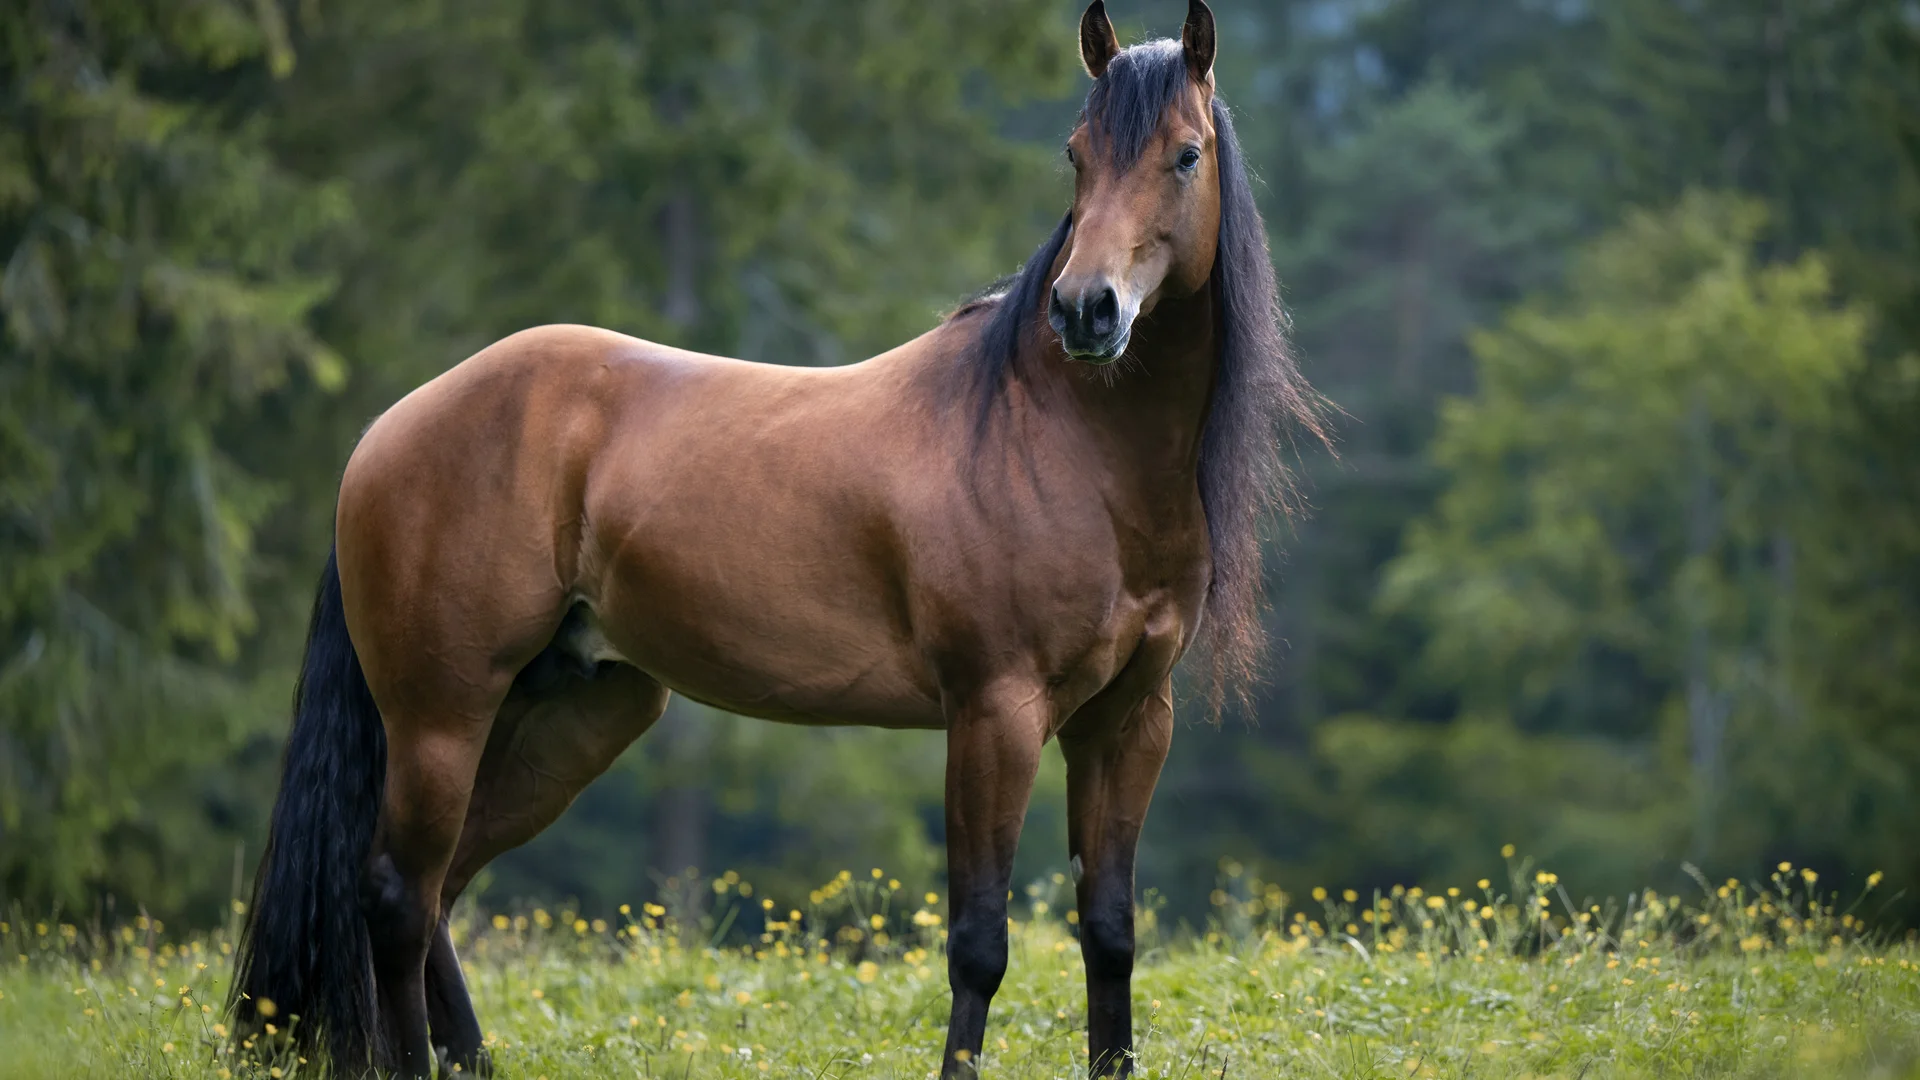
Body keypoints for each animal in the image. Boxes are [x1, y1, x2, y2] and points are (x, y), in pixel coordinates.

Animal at [228, 1, 1321, 1075]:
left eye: (1184, 155)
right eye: (1077, 154)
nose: (1085, 309)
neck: (1062, 444)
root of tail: (388, 429)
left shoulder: (1129, 721)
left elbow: (1110, 933)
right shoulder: (994, 713)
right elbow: (980, 943)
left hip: (569, 714)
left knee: (439, 891)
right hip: (442, 716)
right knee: (396, 898)